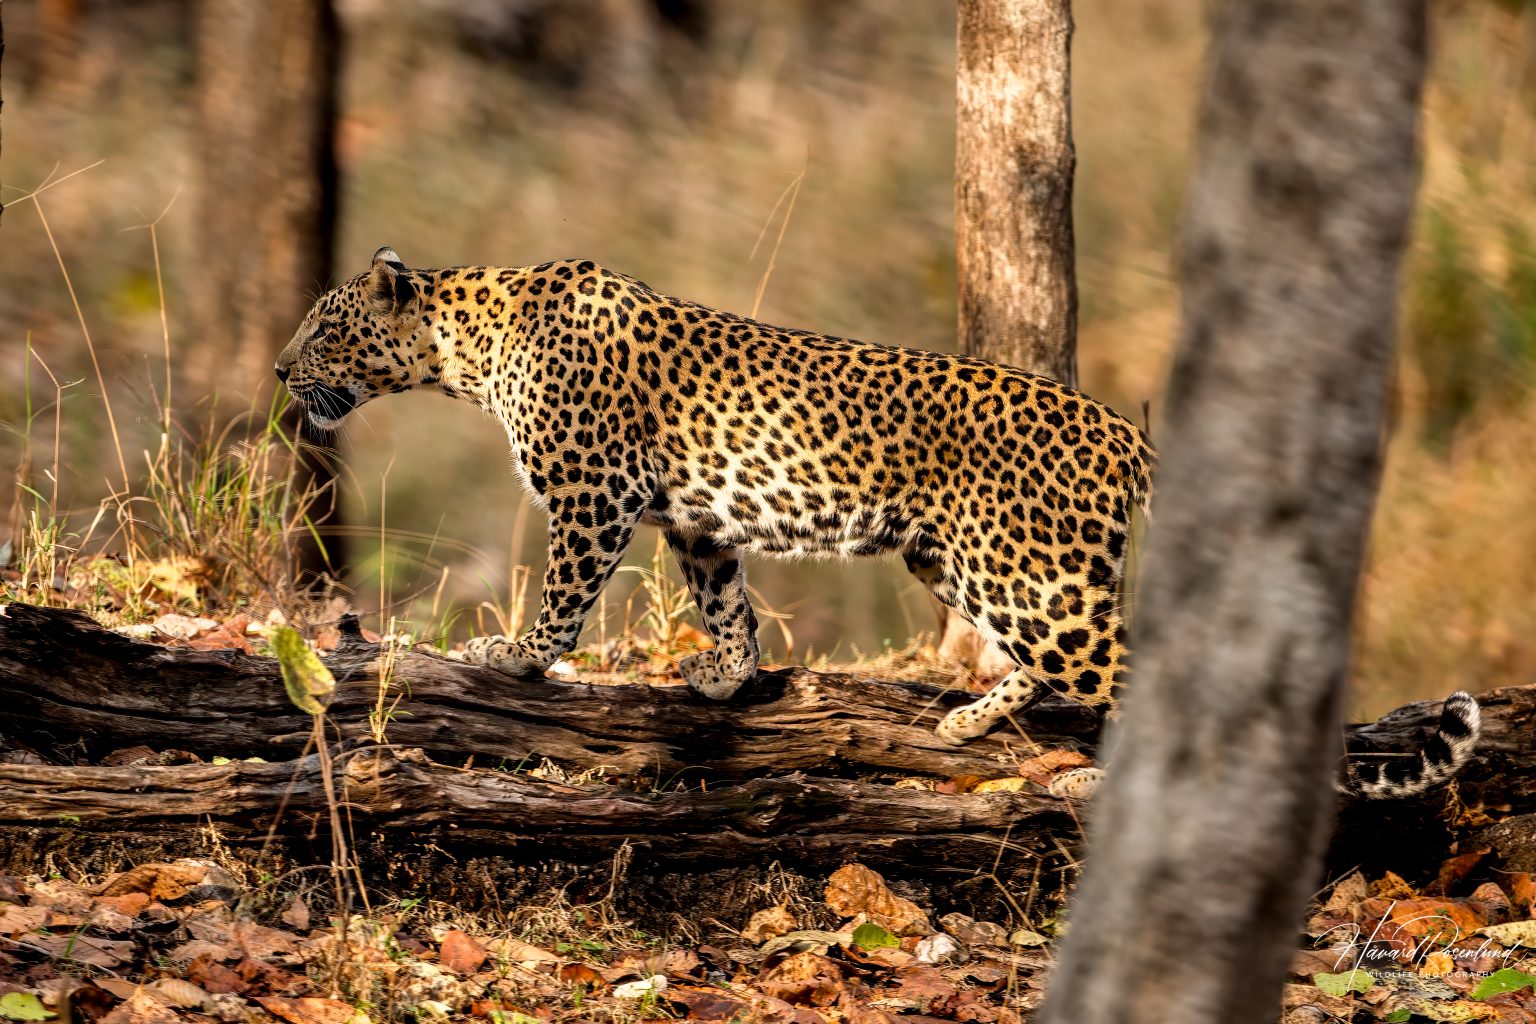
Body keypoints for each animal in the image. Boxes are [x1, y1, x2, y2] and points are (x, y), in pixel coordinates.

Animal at [276, 247, 1480, 799]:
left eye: (324, 327)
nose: (282, 373)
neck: (464, 347)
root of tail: (1123, 432)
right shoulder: (692, 519)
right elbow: (727, 599)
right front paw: (724, 679)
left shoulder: (591, 495)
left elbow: (566, 596)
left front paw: (514, 658)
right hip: (969, 562)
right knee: (1053, 663)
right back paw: (966, 721)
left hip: (1030, 579)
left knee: (1131, 670)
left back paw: (1098, 782)